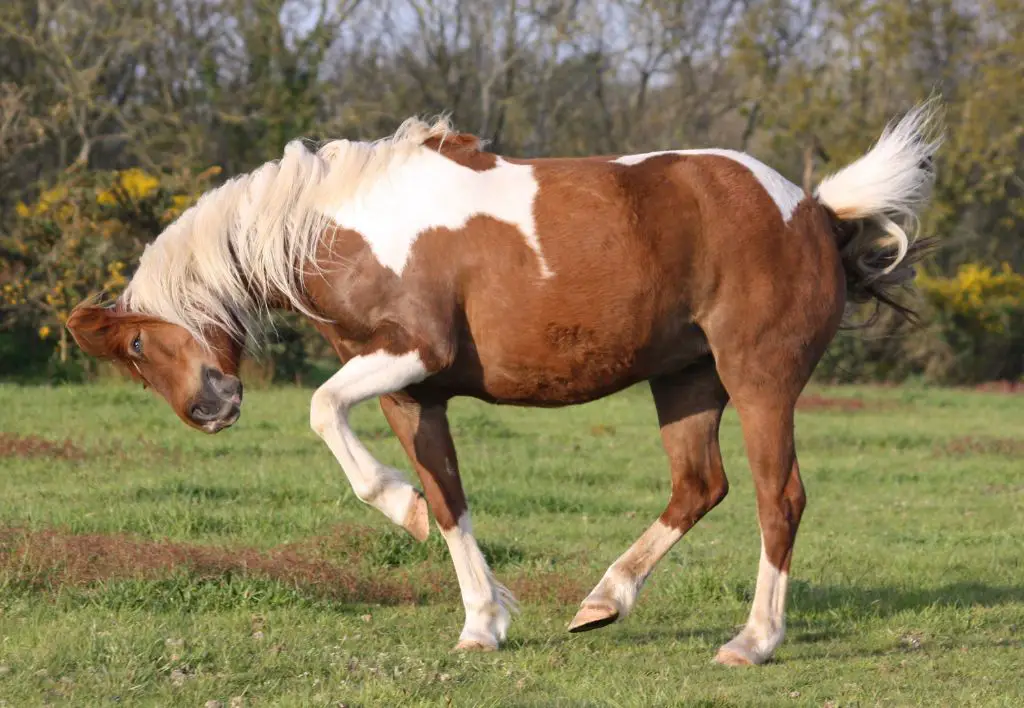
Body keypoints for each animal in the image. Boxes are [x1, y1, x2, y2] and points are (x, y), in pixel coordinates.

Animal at [66, 99, 942, 663]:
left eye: (139, 343)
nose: (209, 409)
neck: (344, 227)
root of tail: (814, 212)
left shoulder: (411, 356)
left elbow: (322, 410)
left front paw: (400, 512)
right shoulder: (411, 394)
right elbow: (450, 499)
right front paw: (481, 622)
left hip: (759, 379)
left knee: (777, 498)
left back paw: (752, 642)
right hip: (687, 382)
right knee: (700, 486)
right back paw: (603, 600)